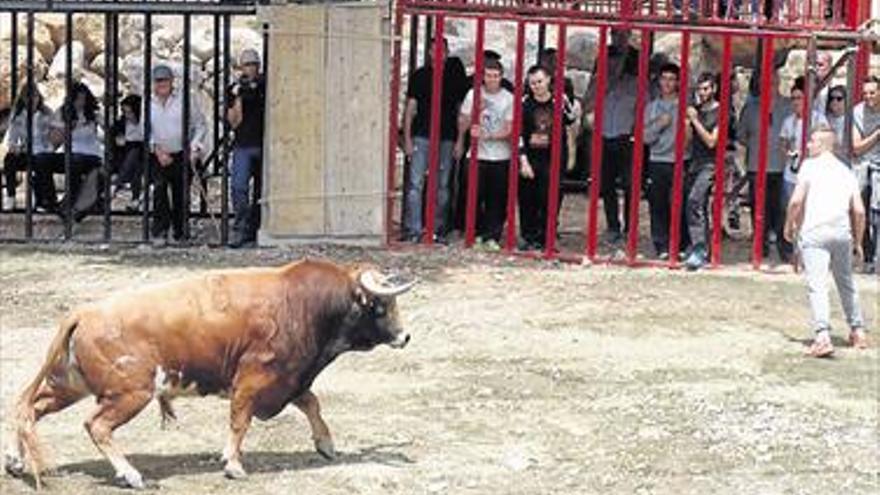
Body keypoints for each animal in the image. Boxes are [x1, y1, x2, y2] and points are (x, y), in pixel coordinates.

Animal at [3, 262, 416, 490]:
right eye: (381, 305)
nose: (405, 336)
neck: (303, 304)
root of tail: (83, 313)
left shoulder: (289, 379)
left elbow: (312, 403)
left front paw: (326, 444)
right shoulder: (254, 380)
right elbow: (240, 421)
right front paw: (233, 464)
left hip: (68, 385)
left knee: (29, 409)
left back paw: (15, 461)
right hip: (129, 393)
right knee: (97, 426)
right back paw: (130, 474)